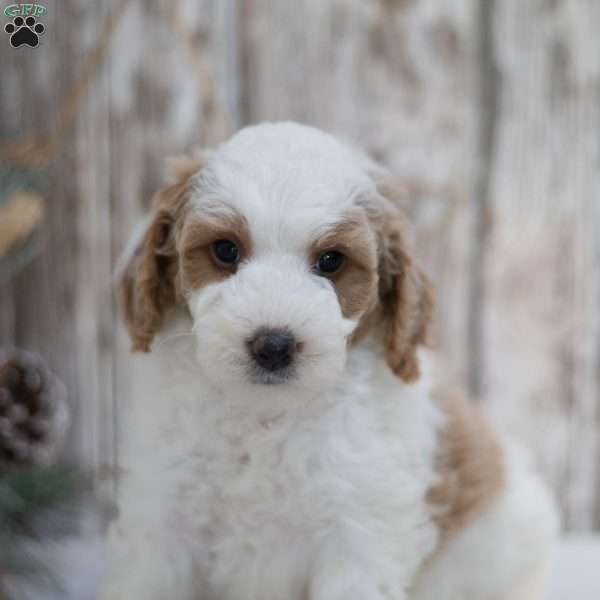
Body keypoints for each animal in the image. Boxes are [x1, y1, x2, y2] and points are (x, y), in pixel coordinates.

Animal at [102, 122, 556, 600]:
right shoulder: (162, 516)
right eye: (225, 250)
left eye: (331, 260)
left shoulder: (359, 536)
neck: (266, 415)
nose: (273, 346)